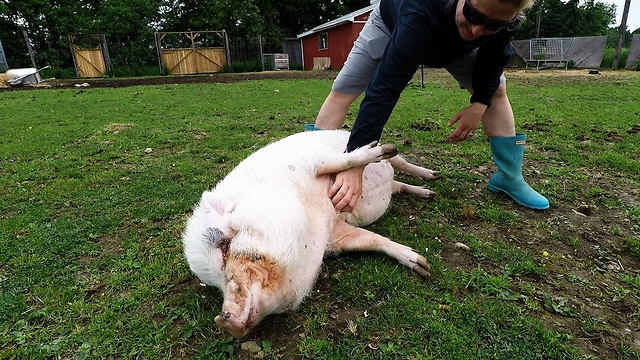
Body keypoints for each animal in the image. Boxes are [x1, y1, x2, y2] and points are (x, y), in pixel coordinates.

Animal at [182, 129, 438, 338]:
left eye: (225, 246)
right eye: (215, 284)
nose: (224, 320)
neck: (310, 209)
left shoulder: (310, 159)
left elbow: (343, 160)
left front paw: (426, 269)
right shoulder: (335, 233)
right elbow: (372, 240)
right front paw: (423, 265)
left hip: (385, 157)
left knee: (401, 163)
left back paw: (429, 176)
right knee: (398, 186)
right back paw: (428, 193)